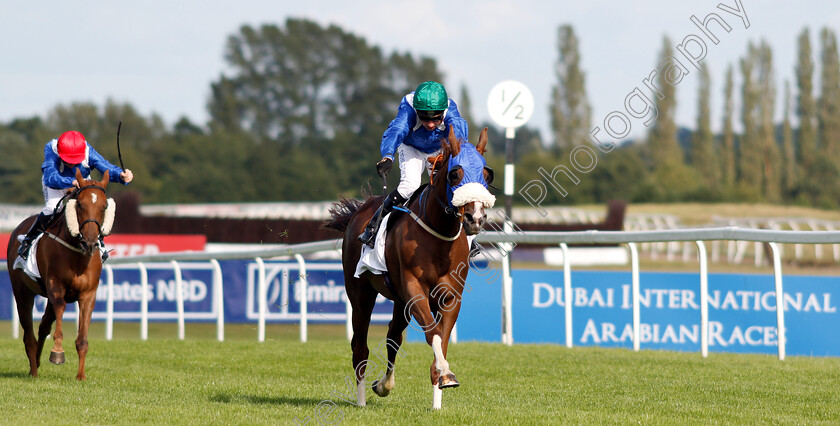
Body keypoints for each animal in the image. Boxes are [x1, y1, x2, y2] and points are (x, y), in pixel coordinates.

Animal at [4, 169, 115, 380]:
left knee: (43, 326)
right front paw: (57, 352)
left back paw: (37, 363)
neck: (77, 253)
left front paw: (81, 376)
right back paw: (34, 371)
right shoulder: (56, 286)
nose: (89, 242)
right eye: (80, 204)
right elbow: (61, 310)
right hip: (23, 293)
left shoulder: (88, 293)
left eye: (104, 206)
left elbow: (82, 339)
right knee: (29, 335)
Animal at [322, 126, 492, 410]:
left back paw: (383, 385)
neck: (438, 234)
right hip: (361, 293)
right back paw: (361, 400)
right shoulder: (414, 289)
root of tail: (360, 210)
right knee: (360, 346)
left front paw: (439, 393)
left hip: (400, 301)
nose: (475, 218)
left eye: (486, 175)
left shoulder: (450, 297)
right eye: (455, 173)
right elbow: (433, 334)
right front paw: (446, 374)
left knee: (393, 336)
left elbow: (441, 338)